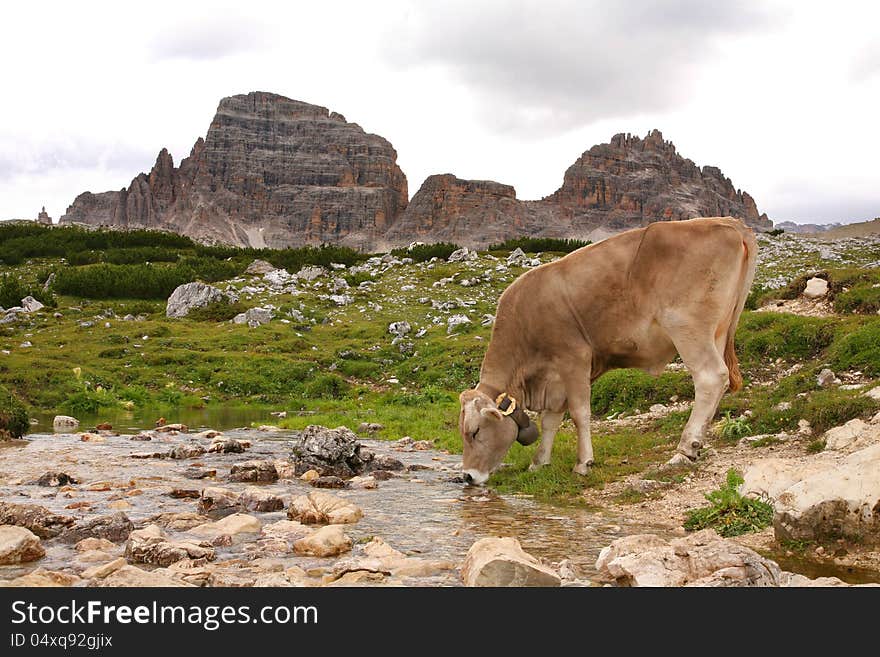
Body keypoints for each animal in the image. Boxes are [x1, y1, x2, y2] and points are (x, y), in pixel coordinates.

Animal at [460, 215, 756, 482]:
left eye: (475, 431)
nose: (467, 476)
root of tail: (728, 222)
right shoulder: (555, 378)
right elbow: (551, 420)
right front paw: (539, 462)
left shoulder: (573, 359)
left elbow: (579, 413)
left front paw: (583, 463)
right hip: (717, 331)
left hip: (688, 327)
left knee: (710, 377)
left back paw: (686, 448)